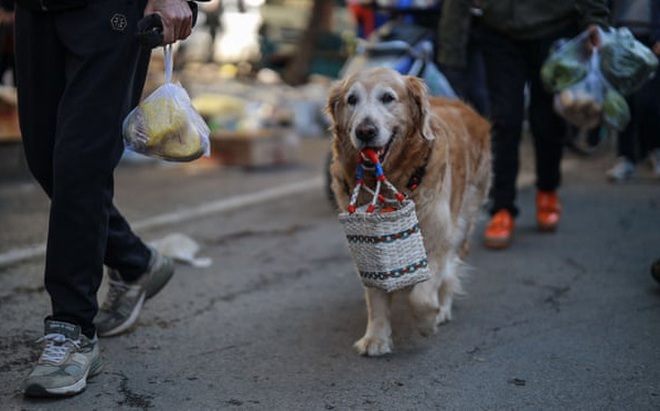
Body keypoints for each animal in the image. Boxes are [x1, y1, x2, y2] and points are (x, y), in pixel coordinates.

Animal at [328, 67, 492, 358]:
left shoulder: (437, 237)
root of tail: (468, 109)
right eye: (351, 100)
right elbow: (376, 296)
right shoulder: (369, 244)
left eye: (388, 98)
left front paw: (427, 321)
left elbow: (423, 295)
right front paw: (376, 337)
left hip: (463, 220)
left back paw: (443, 309)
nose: (365, 131)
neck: (395, 176)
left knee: (451, 269)